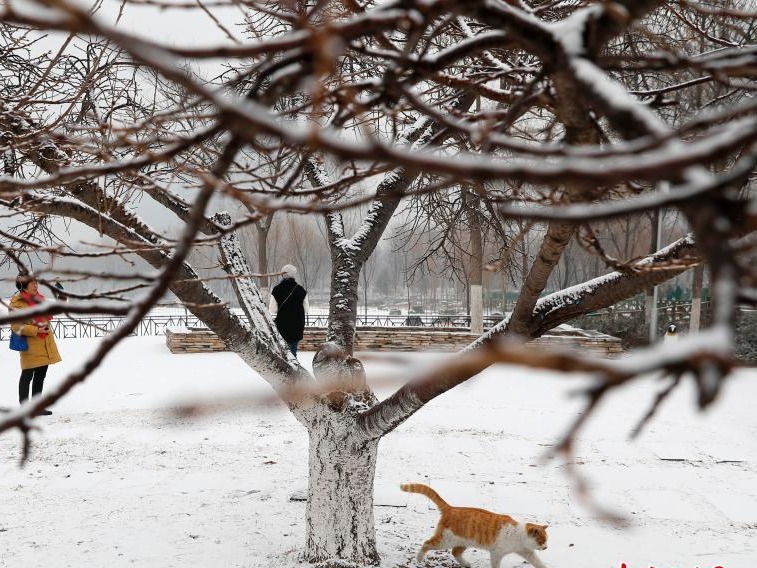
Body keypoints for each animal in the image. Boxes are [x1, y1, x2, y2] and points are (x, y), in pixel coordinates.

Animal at [402, 484, 548, 568]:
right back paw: (419, 558)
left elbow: (538, 562)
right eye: (542, 541)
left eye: (546, 541)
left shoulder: (527, 552)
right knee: (426, 544)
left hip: (462, 542)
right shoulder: (496, 553)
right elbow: (496, 565)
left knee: (455, 552)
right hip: (445, 541)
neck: (518, 536)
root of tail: (451, 508)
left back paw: (466, 564)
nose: (546, 547)